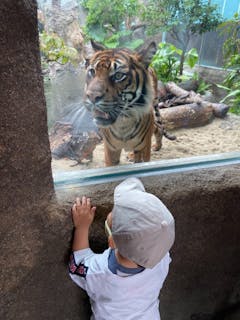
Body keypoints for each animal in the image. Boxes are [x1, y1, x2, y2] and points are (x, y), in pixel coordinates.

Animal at [84, 39, 174, 168]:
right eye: (92, 72)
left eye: (118, 75)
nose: (92, 96)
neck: (123, 123)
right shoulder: (111, 150)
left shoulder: (144, 147)